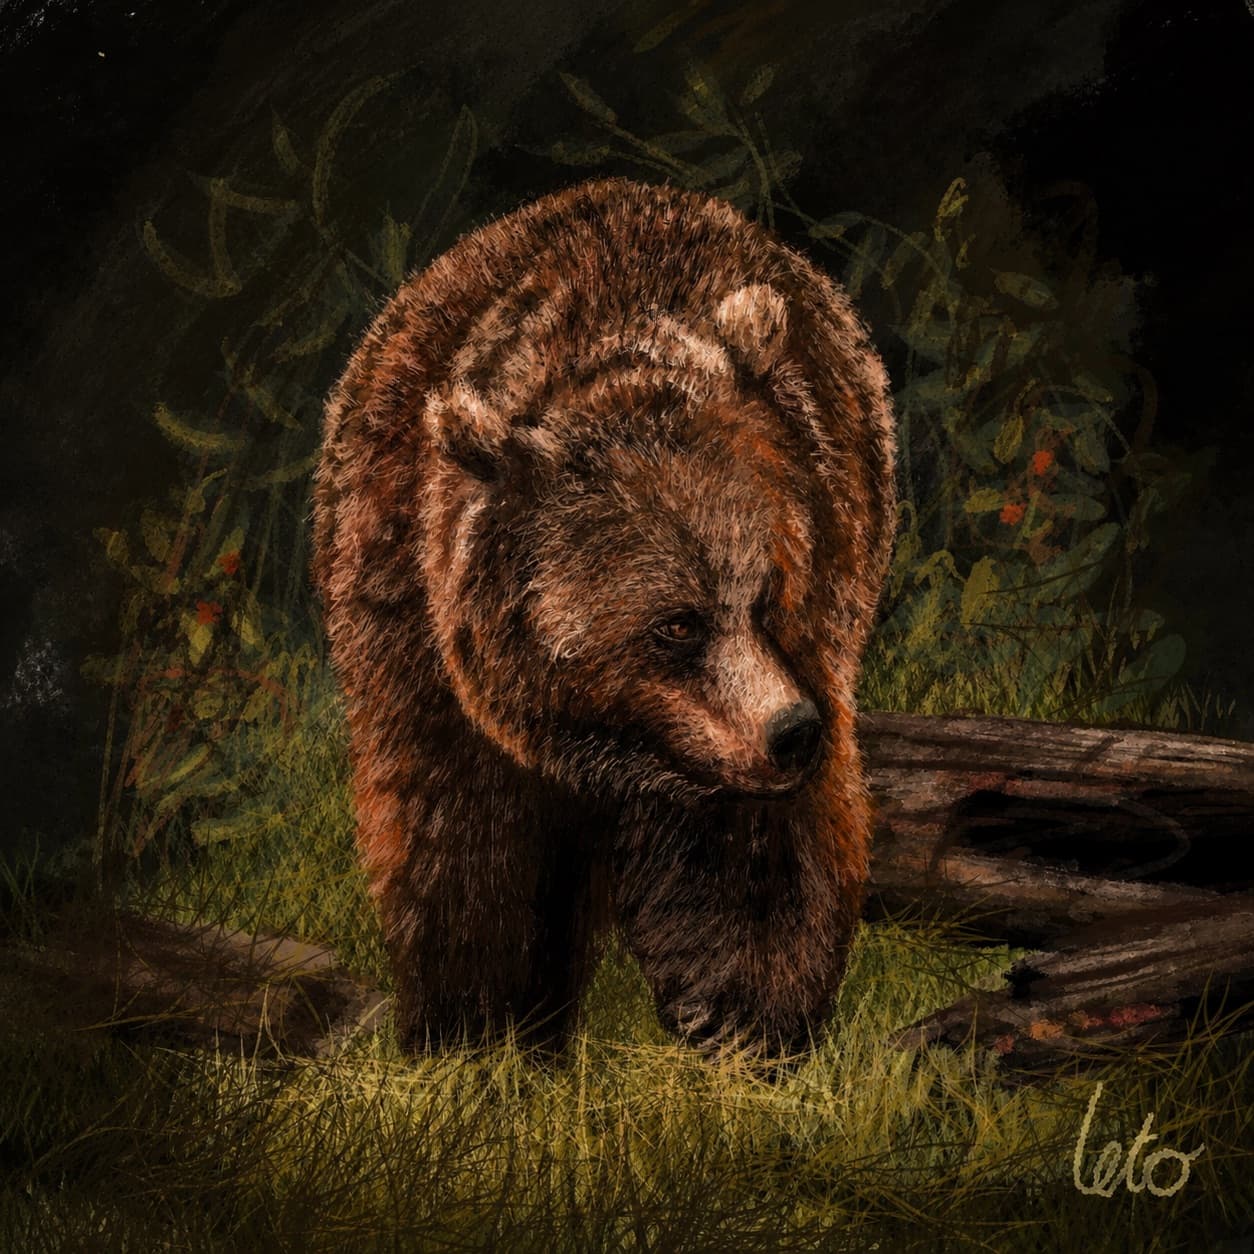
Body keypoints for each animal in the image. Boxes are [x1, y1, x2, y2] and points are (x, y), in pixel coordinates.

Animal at [311, 177, 896, 1060]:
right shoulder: (414, 634)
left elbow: (759, 853)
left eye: (765, 594)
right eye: (677, 622)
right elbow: (461, 843)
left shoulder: (805, 623)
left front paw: (746, 1016)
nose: (791, 732)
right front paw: (473, 1025)